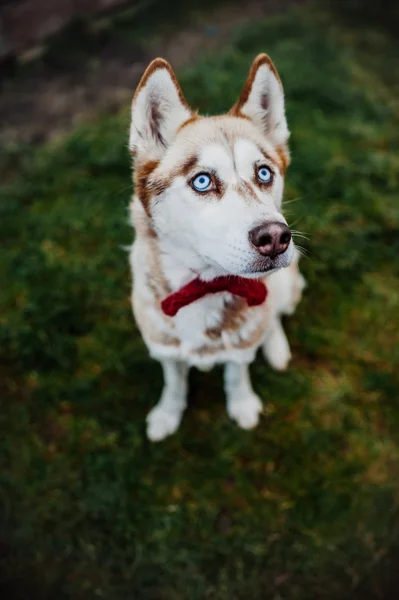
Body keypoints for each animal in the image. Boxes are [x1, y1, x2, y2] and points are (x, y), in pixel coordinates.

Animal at [130, 55, 304, 440]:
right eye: (202, 181)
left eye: (264, 173)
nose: (275, 237)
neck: (205, 286)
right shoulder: (162, 346)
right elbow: (174, 381)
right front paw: (167, 414)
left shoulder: (241, 347)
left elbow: (236, 374)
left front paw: (242, 405)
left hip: (288, 284)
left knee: (274, 315)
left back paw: (277, 347)